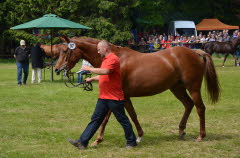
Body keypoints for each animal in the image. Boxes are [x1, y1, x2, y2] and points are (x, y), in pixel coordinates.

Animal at [54, 36, 219, 146]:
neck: (117, 59)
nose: (56, 69)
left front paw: (98, 139)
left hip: (193, 88)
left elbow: (108, 118)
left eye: (65, 51)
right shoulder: (124, 97)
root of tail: (196, 52)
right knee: (188, 105)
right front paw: (139, 136)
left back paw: (201, 136)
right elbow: (131, 115)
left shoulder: (118, 96)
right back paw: (181, 131)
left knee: (200, 108)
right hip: (176, 88)